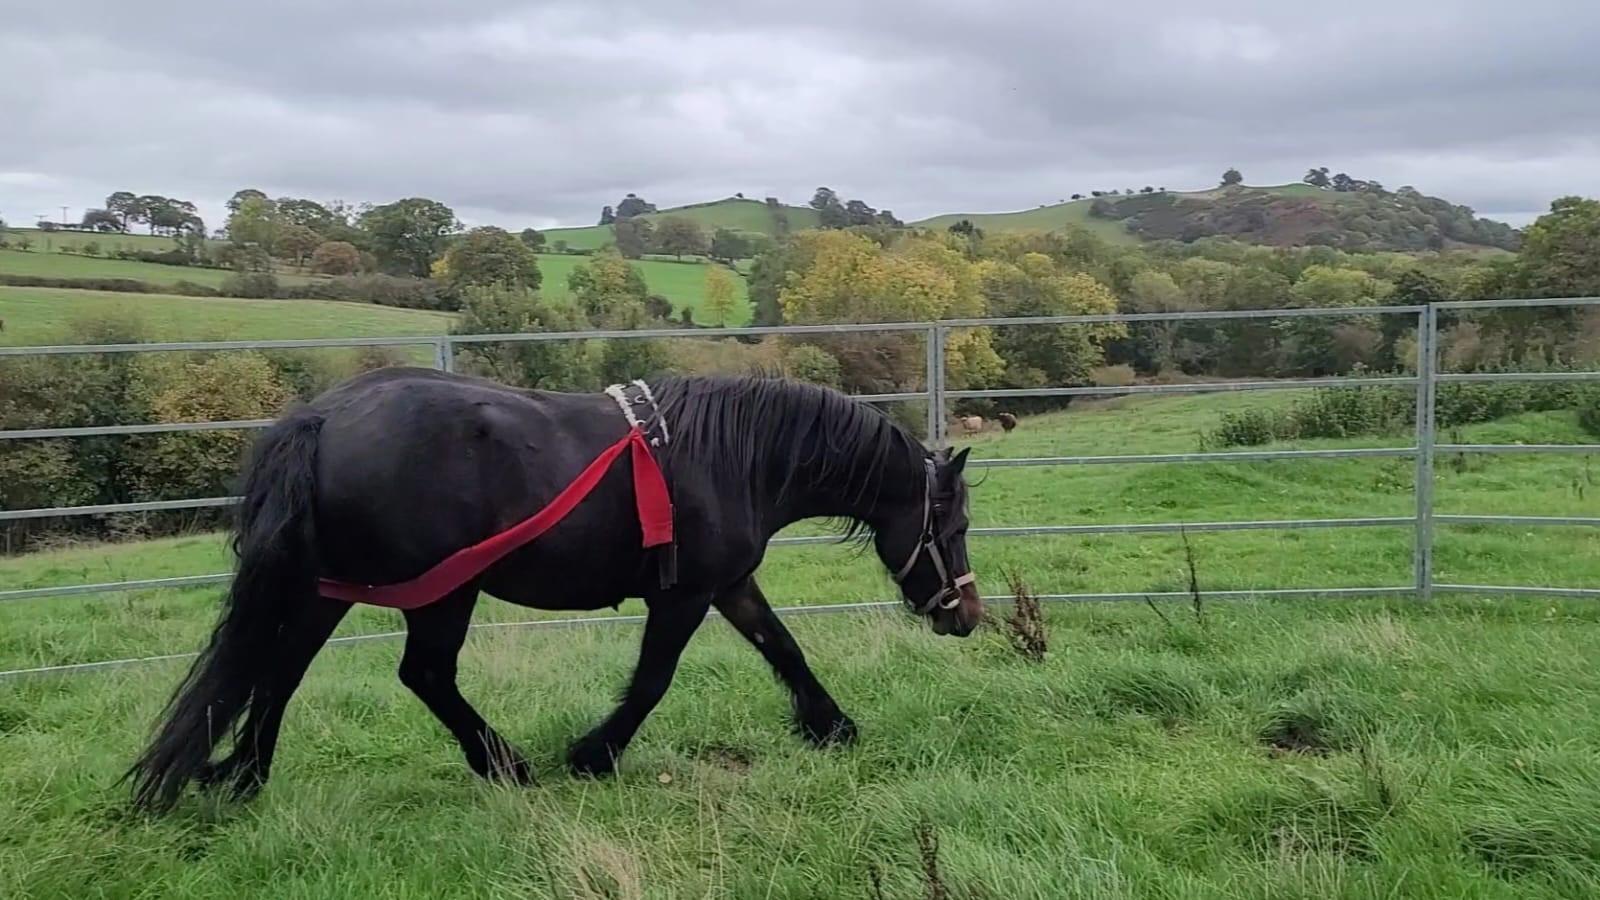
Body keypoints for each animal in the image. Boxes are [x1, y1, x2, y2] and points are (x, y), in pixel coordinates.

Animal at [123, 368, 983, 813]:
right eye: (953, 524)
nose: (967, 617)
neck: (732, 457)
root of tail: (325, 418)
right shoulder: (683, 595)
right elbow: (653, 680)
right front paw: (593, 753)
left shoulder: (730, 584)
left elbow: (784, 647)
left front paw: (831, 725)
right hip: (441, 593)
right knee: (421, 673)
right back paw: (504, 765)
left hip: (329, 588)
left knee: (281, 671)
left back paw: (246, 776)